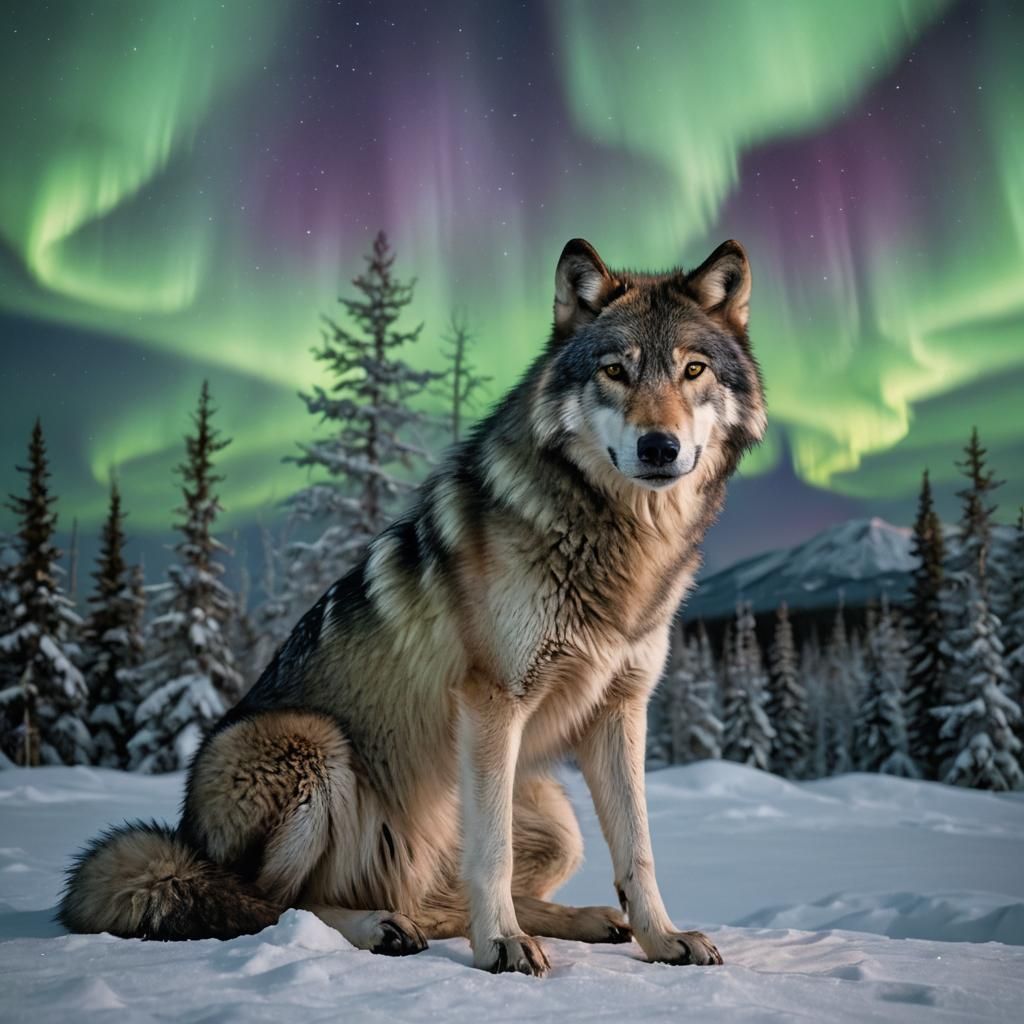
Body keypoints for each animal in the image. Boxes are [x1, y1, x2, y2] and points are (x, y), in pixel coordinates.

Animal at [60, 237, 766, 976]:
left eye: (692, 370)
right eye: (615, 371)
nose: (659, 447)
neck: (617, 542)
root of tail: (185, 841)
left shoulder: (620, 710)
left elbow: (638, 849)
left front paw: (662, 939)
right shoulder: (492, 704)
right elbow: (492, 855)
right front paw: (502, 945)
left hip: (552, 816)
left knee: (439, 899)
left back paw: (584, 920)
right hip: (314, 747)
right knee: (271, 902)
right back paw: (381, 926)